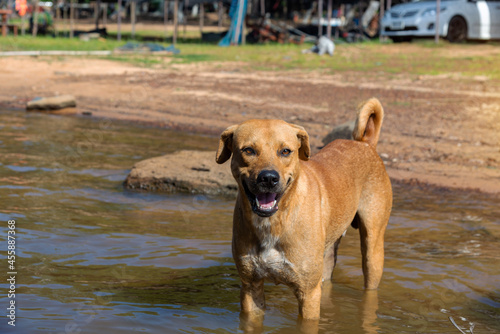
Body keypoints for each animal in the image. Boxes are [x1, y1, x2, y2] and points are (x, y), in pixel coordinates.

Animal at [217, 98, 392, 320]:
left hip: (373, 248)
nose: (269, 178)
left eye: (285, 151)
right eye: (248, 150)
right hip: (327, 255)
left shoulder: (308, 293)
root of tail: (365, 143)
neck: (274, 221)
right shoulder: (250, 286)